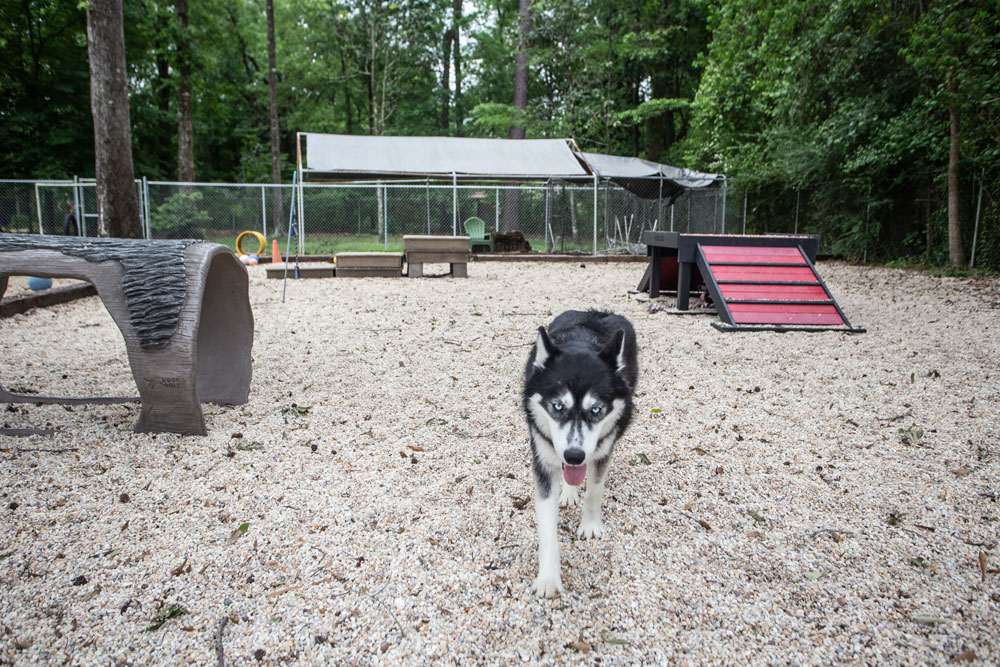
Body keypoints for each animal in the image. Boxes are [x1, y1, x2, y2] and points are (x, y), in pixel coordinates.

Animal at [524, 310, 640, 596]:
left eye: (596, 410)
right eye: (557, 406)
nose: (574, 455)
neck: (580, 345)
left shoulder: (602, 450)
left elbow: (594, 491)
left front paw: (589, 525)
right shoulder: (544, 459)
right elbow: (547, 526)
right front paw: (548, 577)